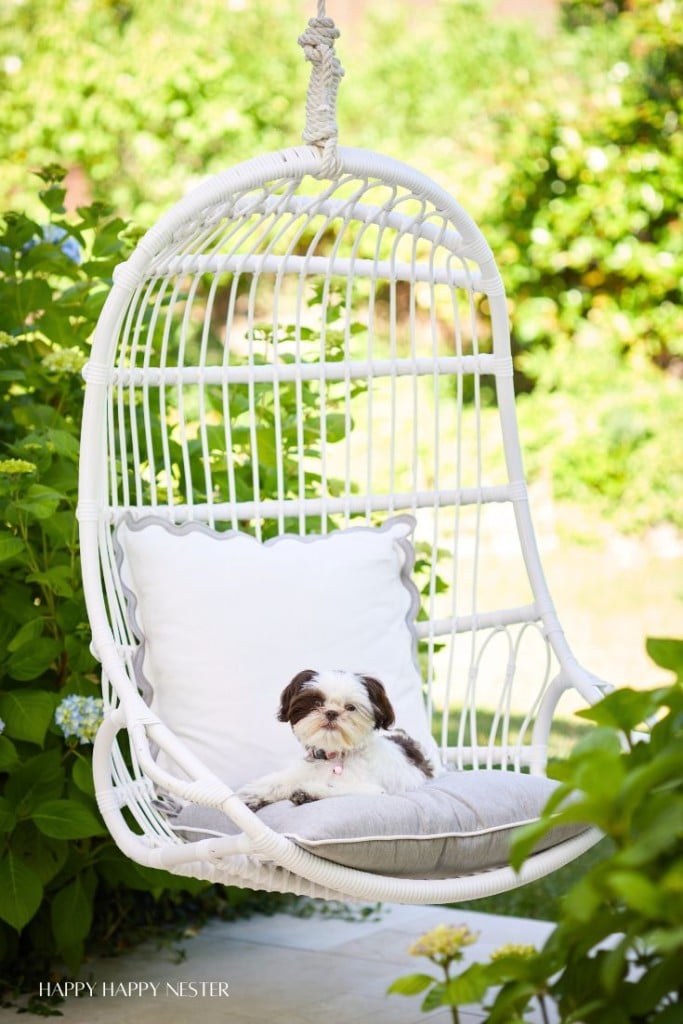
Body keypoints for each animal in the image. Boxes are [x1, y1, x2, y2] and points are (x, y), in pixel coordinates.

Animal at [239, 667, 432, 811]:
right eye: (317, 703)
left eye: (350, 707)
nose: (331, 712)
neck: (333, 756)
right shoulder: (304, 770)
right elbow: (280, 781)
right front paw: (255, 794)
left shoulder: (372, 790)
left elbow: (337, 788)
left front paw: (310, 792)